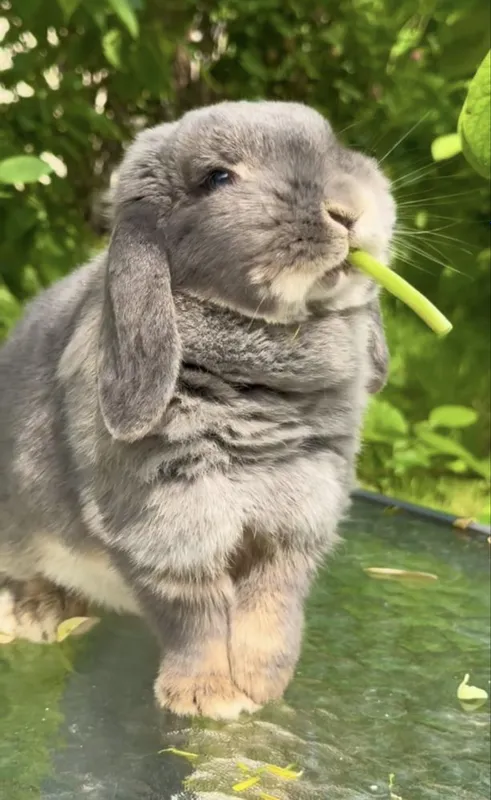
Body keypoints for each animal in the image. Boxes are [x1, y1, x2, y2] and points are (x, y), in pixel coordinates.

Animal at [0, 101, 395, 719]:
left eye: (332, 143)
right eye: (217, 179)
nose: (348, 211)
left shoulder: (298, 517)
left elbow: (270, 608)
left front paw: (262, 684)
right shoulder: (168, 525)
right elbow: (196, 617)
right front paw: (207, 697)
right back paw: (36, 614)